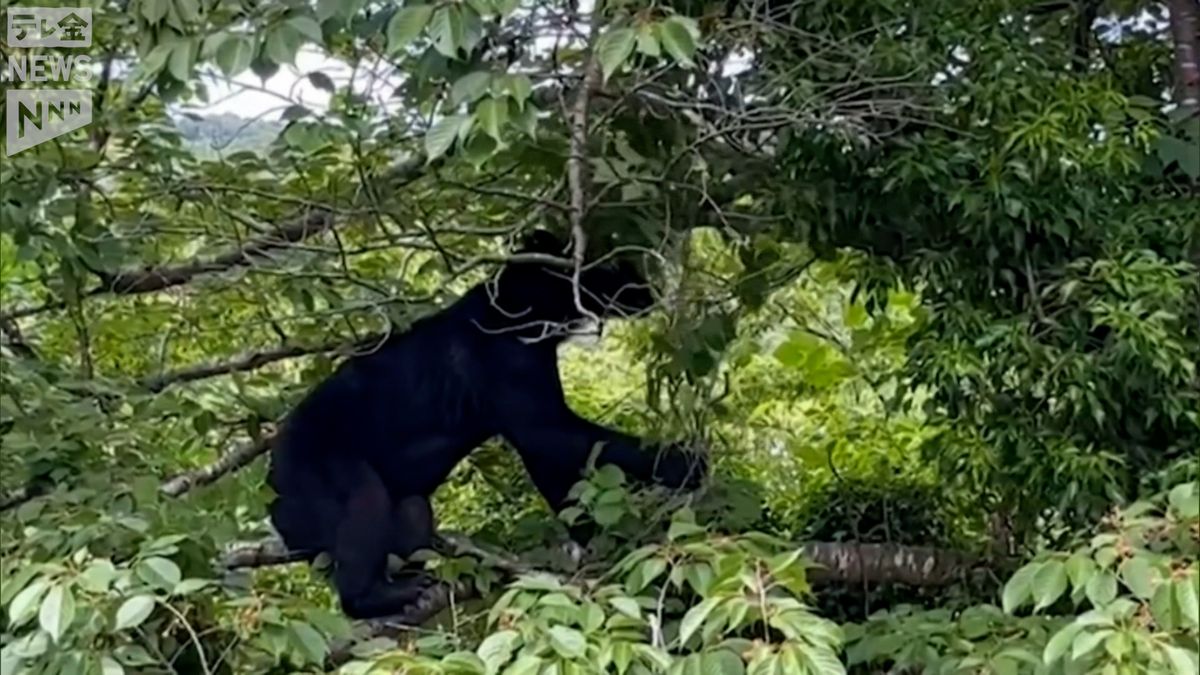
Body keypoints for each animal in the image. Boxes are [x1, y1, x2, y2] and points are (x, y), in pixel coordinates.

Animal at [267, 229, 700, 614]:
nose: (640, 284)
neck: (518, 314)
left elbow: (559, 470)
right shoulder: (517, 378)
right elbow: (560, 437)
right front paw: (685, 462)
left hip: (402, 504)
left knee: (410, 513)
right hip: (320, 471)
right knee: (364, 505)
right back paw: (379, 596)